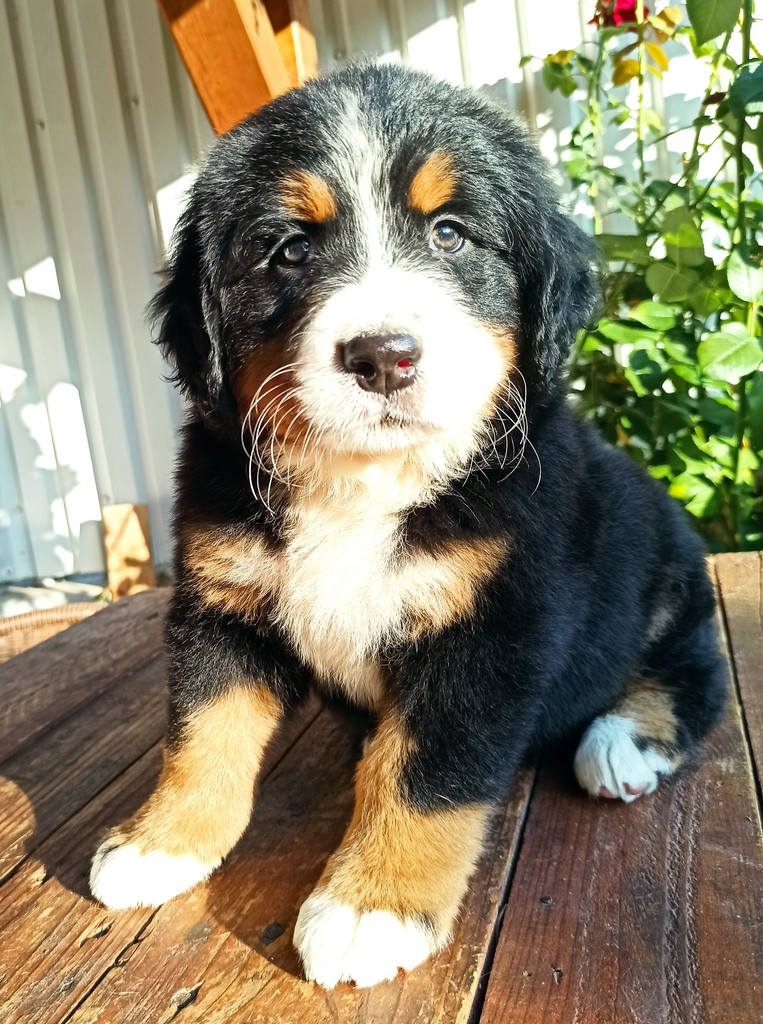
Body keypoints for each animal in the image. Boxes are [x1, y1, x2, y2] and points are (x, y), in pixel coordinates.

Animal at [89, 62, 727, 988]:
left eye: (452, 235)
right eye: (289, 248)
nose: (382, 356)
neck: (365, 479)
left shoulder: (490, 630)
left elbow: (424, 774)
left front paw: (371, 906)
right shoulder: (221, 602)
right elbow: (200, 731)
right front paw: (160, 843)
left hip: (669, 577)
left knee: (689, 680)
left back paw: (619, 745)